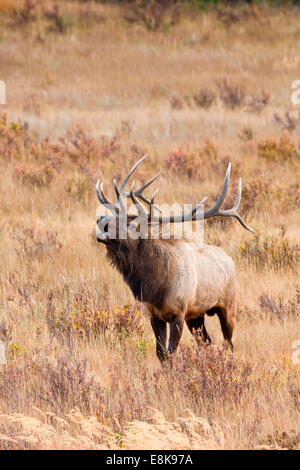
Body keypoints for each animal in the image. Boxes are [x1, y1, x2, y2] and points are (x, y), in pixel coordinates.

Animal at [95, 156, 253, 362]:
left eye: (130, 225)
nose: (101, 219)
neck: (156, 285)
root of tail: (229, 260)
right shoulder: (155, 315)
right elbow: (161, 353)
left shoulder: (178, 313)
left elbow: (171, 352)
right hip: (196, 315)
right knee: (207, 341)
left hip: (228, 305)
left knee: (229, 344)